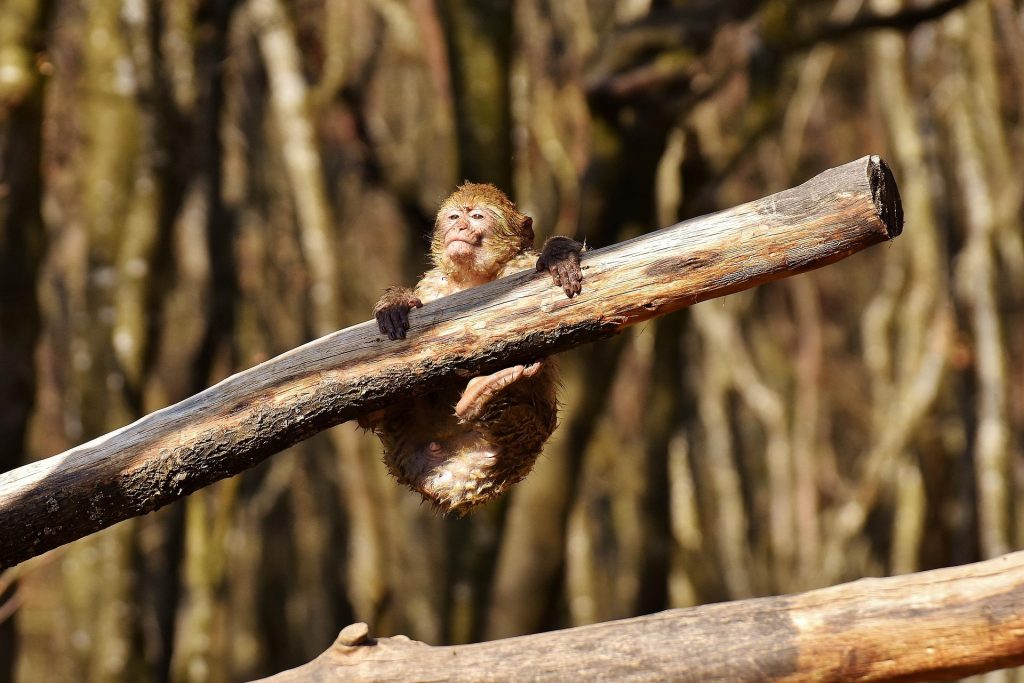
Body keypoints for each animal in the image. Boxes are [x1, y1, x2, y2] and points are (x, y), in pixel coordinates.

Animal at [360, 181, 585, 511]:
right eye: (454, 217)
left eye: (477, 216)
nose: (460, 227)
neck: (473, 279)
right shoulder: (433, 285)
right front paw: (395, 301)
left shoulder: (519, 268)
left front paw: (558, 253)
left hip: (521, 449)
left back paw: (482, 395)